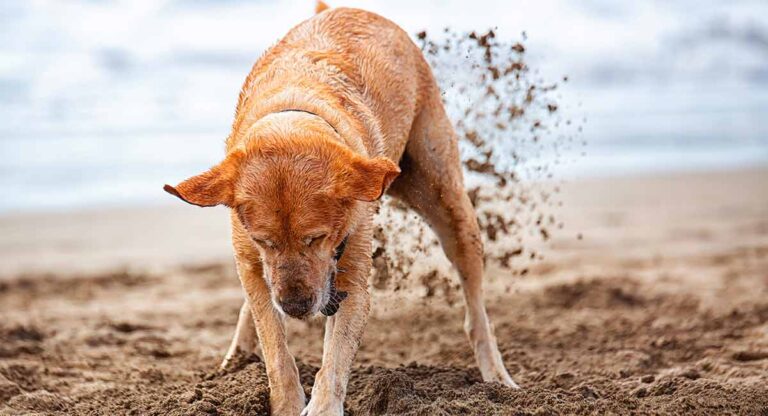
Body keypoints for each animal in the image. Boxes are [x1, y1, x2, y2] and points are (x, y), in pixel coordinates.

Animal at [165, 2, 520, 412]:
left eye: (317, 238)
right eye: (265, 241)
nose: (297, 307)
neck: (294, 111)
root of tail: (343, 8)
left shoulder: (351, 280)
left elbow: (333, 360)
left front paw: (321, 407)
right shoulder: (253, 263)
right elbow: (275, 349)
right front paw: (286, 402)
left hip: (448, 204)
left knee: (476, 310)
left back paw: (497, 378)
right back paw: (236, 359)